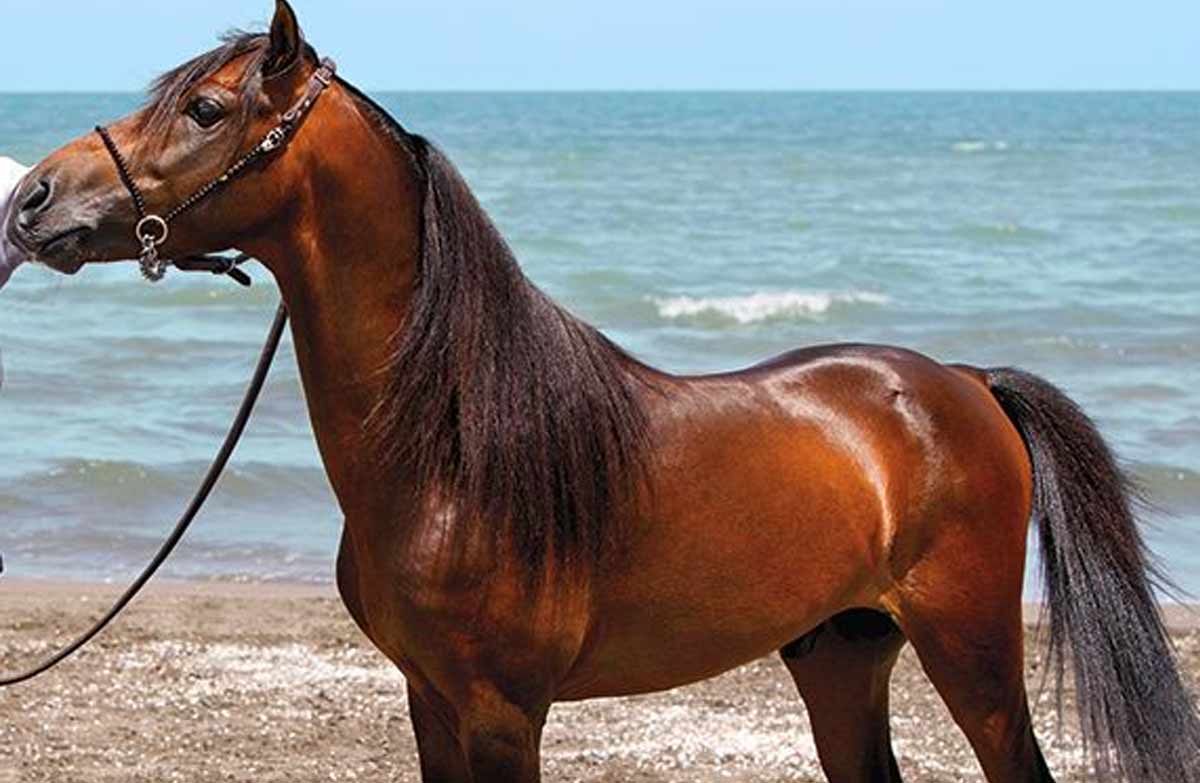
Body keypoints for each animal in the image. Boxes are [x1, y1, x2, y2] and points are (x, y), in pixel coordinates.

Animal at [5, 3, 1198, 781]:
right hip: (841, 652)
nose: (33, 199)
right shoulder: (430, 700)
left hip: (976, 655)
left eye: (207, 108)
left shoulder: (502, 711)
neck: (451, 453)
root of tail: (960, 383)